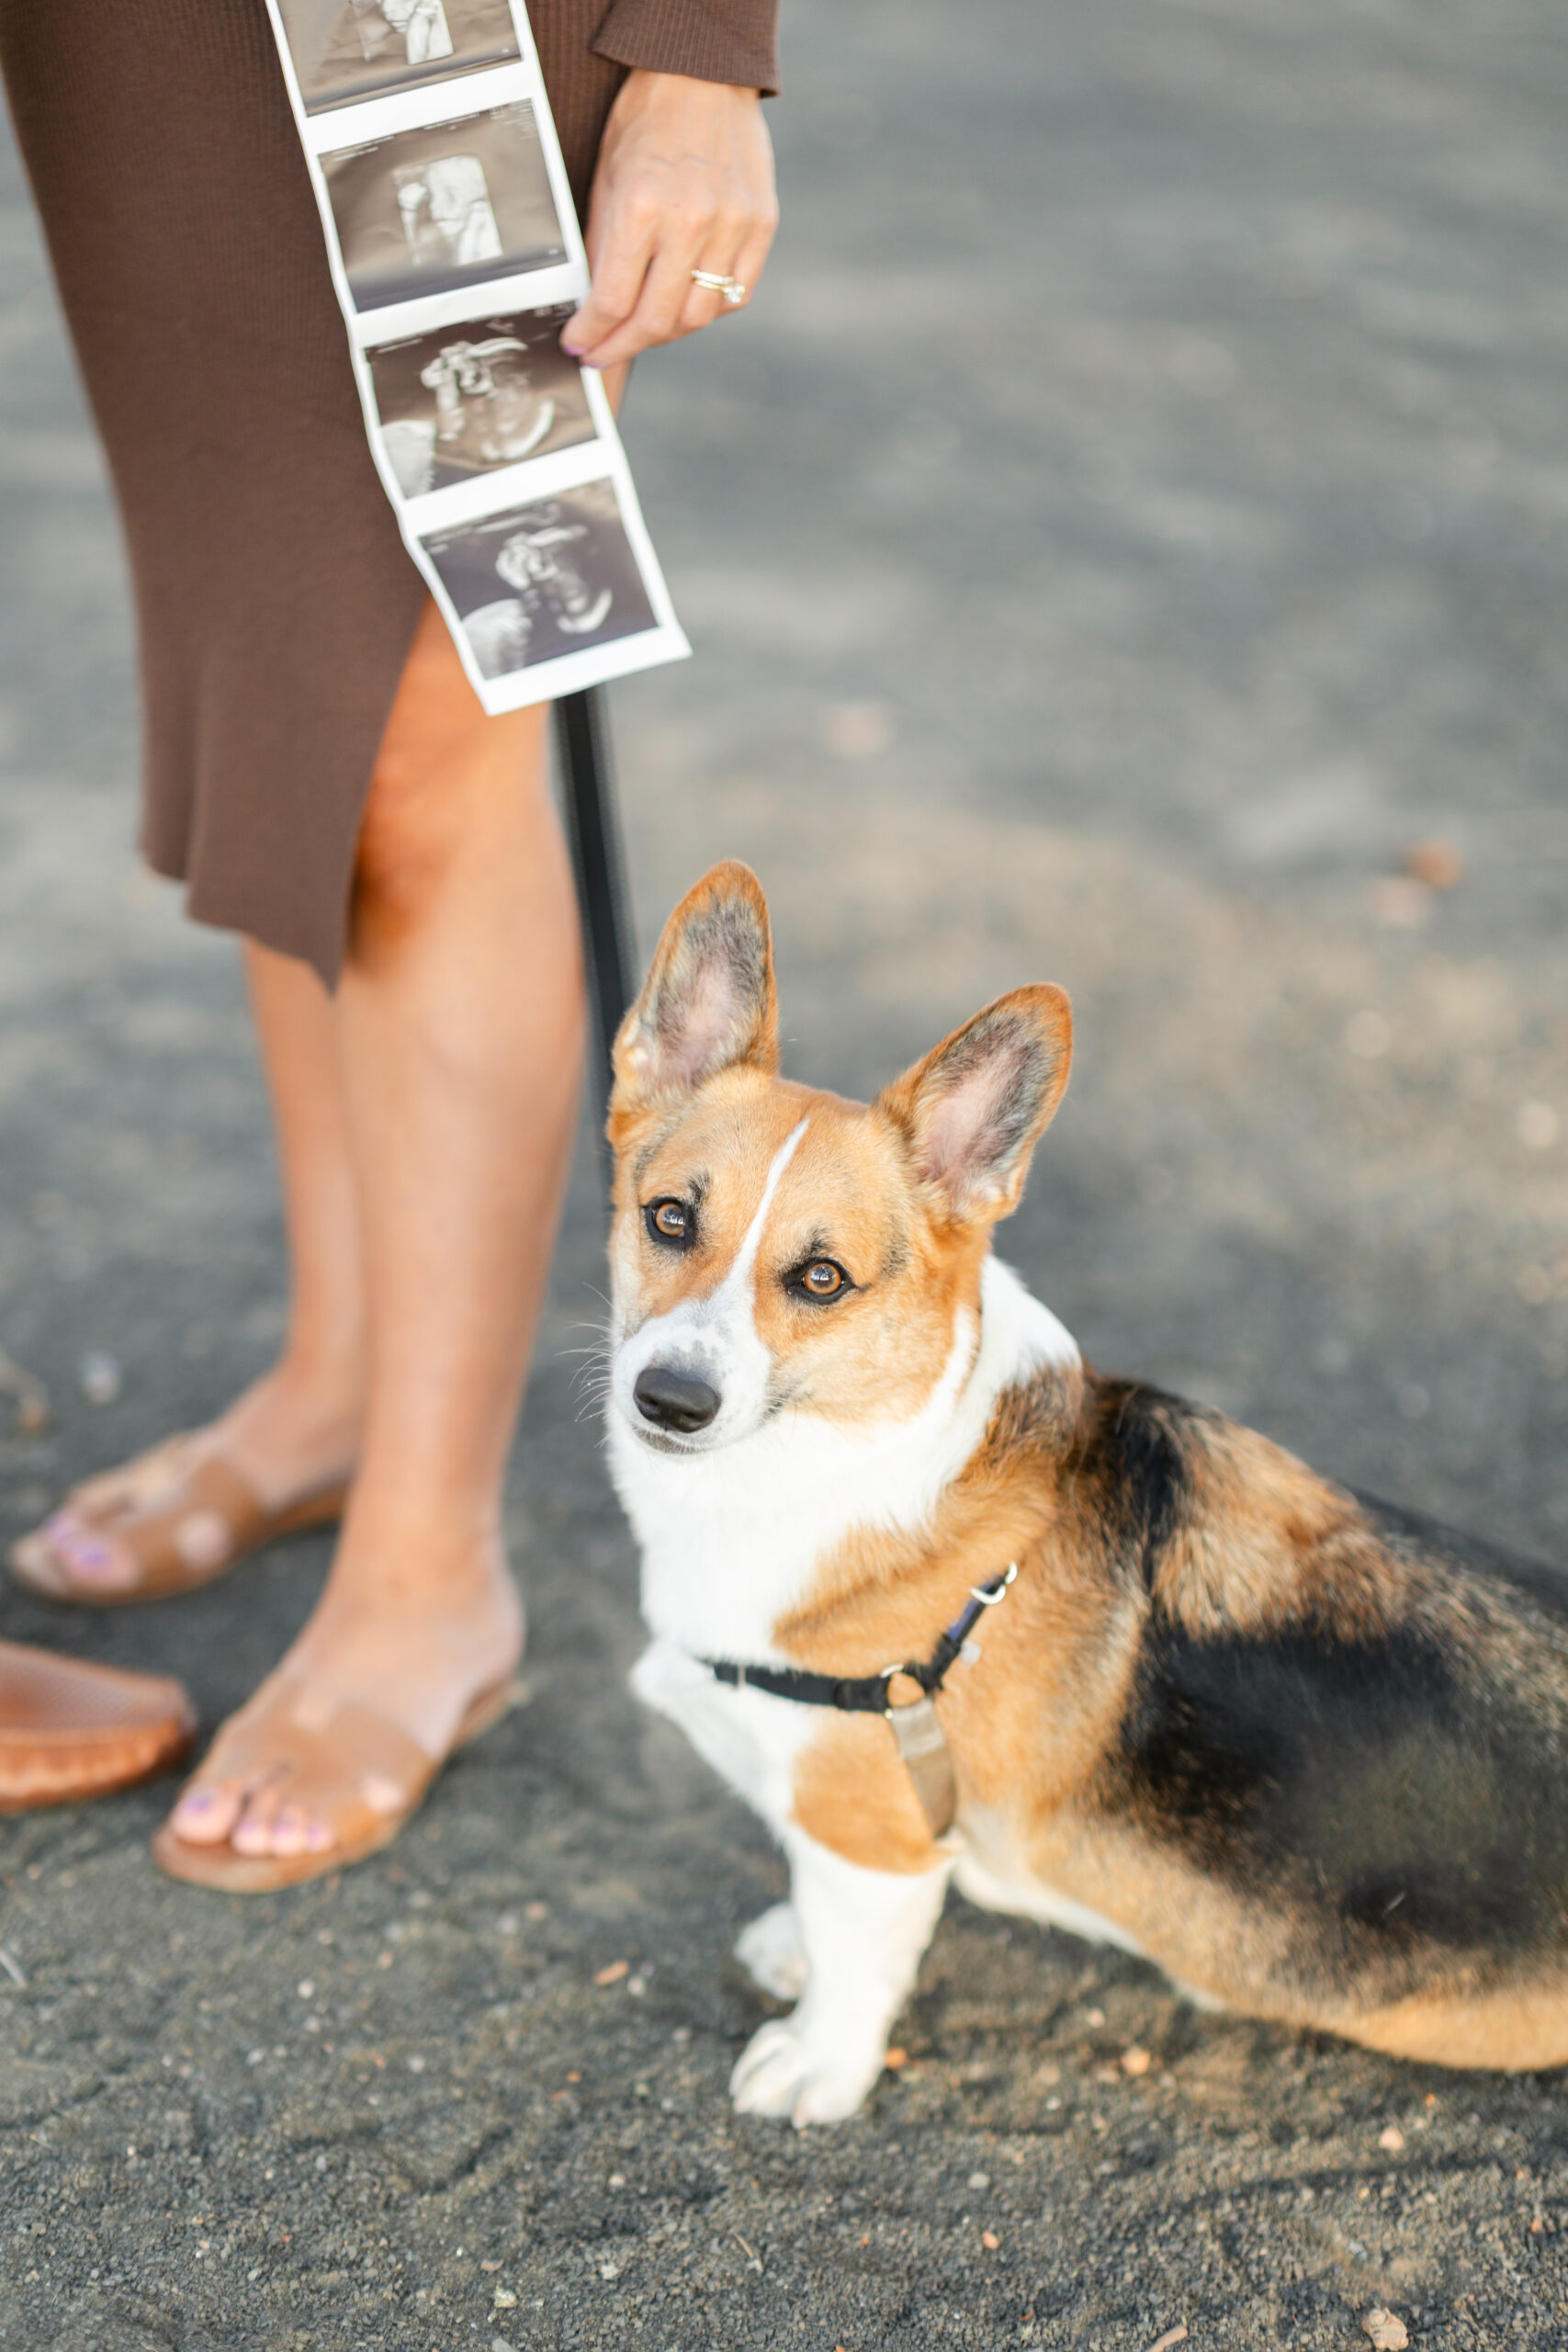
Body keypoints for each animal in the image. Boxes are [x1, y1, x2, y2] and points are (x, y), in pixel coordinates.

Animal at [606, 865, 1568, 2135]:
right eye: (670, 1217)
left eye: (821, 1279)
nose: (669, 1399)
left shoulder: (870, 1832)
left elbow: (855, 1954)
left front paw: (815, 2061)